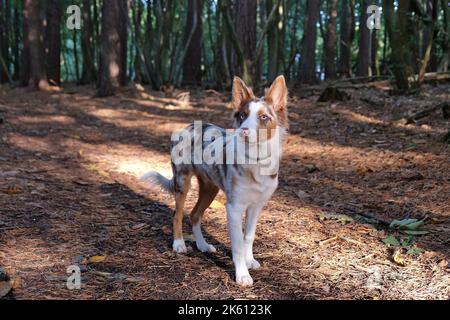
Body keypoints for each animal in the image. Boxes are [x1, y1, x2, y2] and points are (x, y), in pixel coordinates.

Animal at [142, 75, 288, 288]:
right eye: (242, 115)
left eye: (263, 117)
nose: (243, 132)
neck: (255, 159)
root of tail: (188, 126)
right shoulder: (234, 208)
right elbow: (237, 244)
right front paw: (242, 274)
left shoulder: (256, 206)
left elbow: (248, 236)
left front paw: (250, 260)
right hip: (182, 181)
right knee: (178, 214)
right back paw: (179, 244)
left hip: (210, 189)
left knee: (194, 215)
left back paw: (202, 245)